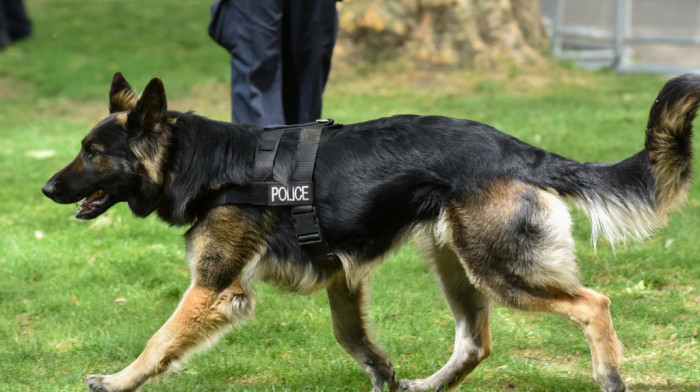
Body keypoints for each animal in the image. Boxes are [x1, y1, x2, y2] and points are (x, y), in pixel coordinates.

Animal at [41, 71, 696, 392]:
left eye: (93, 153)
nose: (45, 189)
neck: (205, 163)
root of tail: (519, 150)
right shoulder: (341, 276)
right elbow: (352, 338)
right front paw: (383, 377)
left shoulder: (214, 288)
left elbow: (158, 343)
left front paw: (117, 381)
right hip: (454, 262)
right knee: (475, 342)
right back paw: (429, 386)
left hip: (498, 268)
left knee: (594, 303)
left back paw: (610, 378)